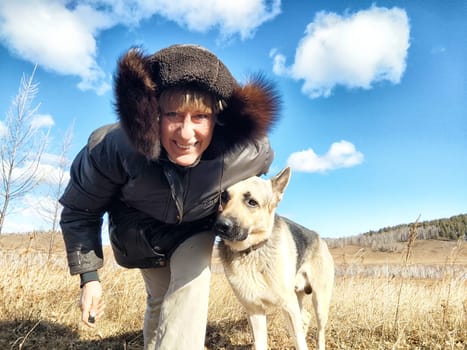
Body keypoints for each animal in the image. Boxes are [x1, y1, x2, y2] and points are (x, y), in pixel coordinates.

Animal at [214, 167, 334, 350]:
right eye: (225, 197)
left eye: (252, 202)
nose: (220, 225)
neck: (252, 251)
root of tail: (320, 238)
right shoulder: (254, 311)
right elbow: (261, 343)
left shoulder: (288, 306)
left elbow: (300, 341)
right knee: (305, 317)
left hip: (319, 302)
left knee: (319, 330)